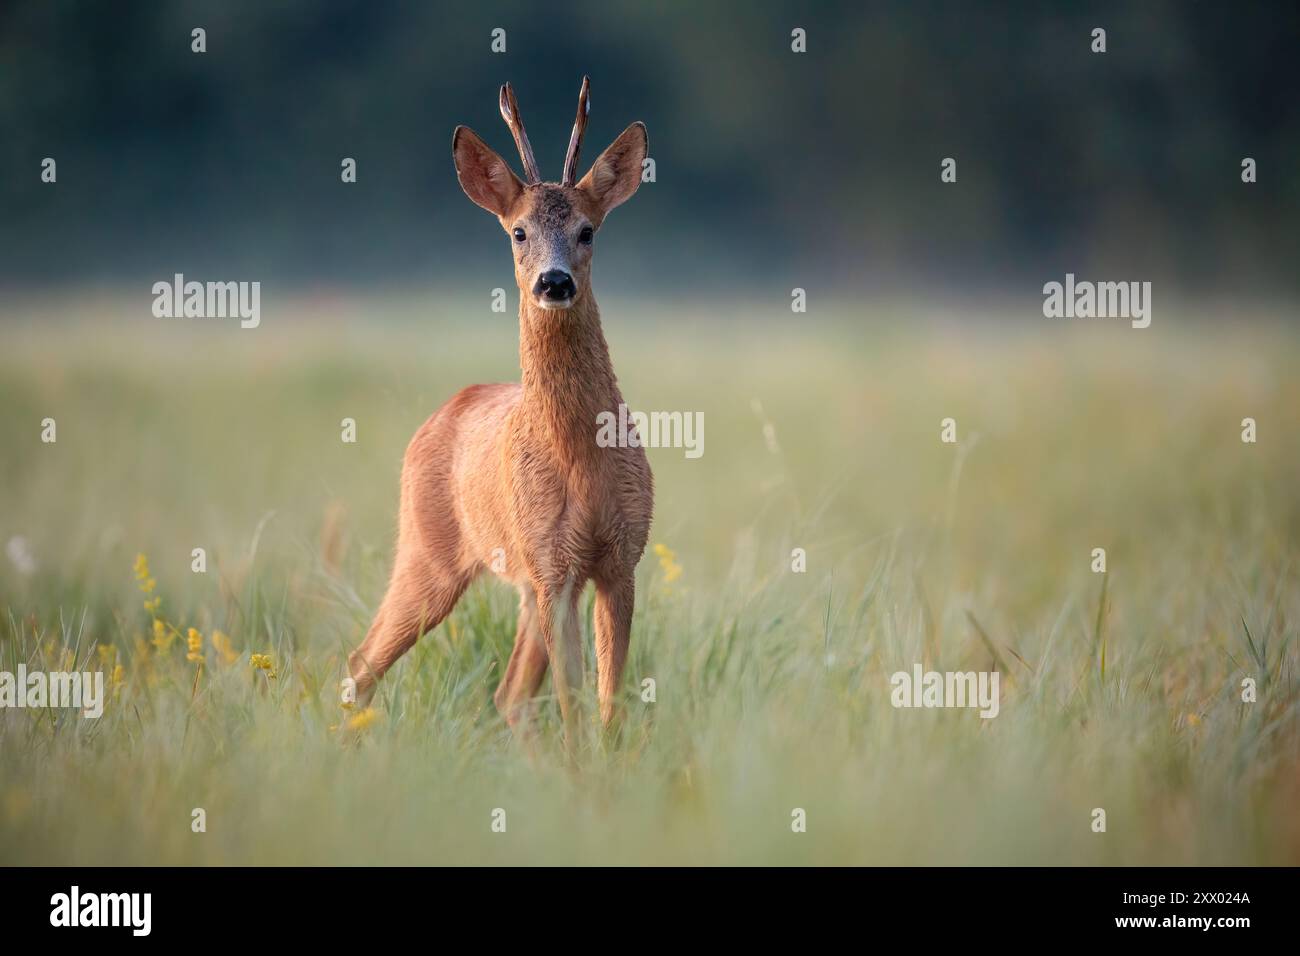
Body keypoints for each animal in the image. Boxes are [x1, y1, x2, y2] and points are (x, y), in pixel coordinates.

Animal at [345, 78, 653, 752]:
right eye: (517, 231)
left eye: (588, 230)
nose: (554, 282)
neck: (580, 460)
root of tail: (442, 412)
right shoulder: (553, 564)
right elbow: (573, 707)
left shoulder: (618, 558)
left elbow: (608, 705)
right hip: (429, 549)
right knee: (361, 661)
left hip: (515, 580)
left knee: (507, 694)